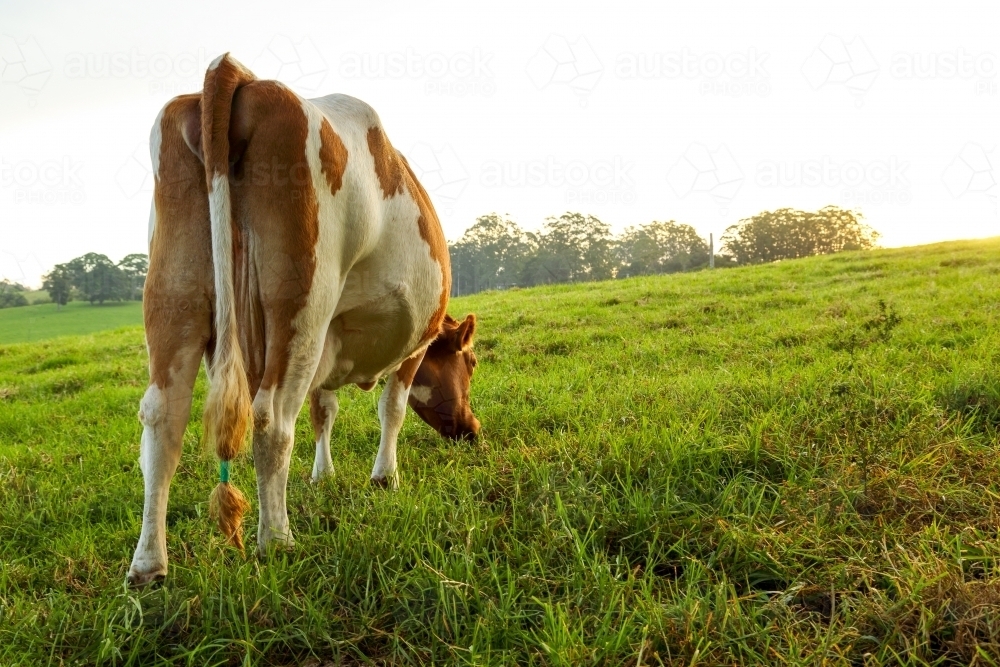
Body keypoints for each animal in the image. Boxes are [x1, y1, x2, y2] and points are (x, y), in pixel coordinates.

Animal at [127, 54, 478, 588]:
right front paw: (385, 477)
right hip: (301, 305)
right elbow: (391, 408)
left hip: (173, 294)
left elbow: (323, 408)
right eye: (471, 363)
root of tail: (239, 74)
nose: (472, 430)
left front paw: (322, 474)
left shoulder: (328, 346)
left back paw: (148, 564)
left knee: (163, 417)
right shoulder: (413, 344)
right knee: (272, 419)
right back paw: (277, 540)